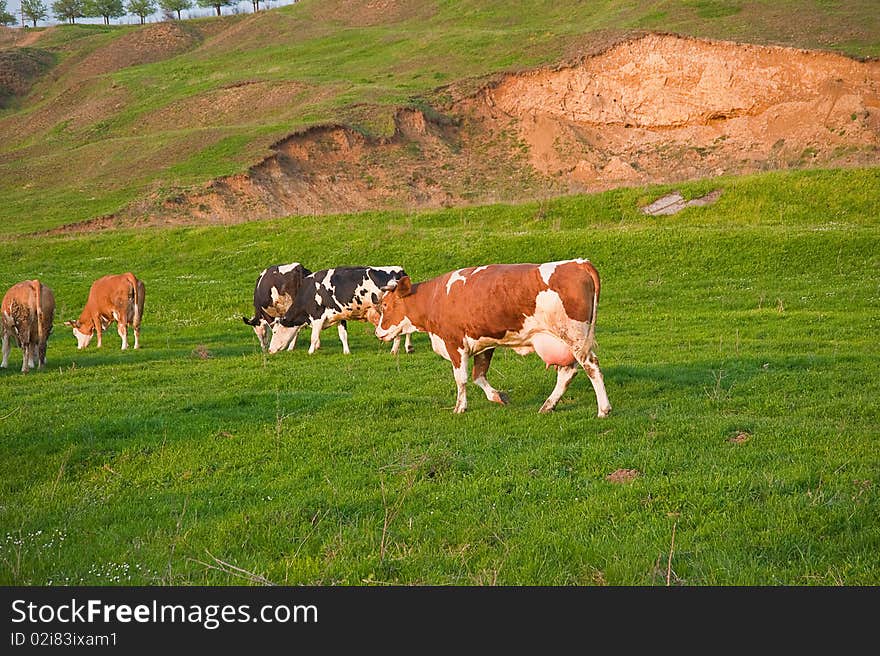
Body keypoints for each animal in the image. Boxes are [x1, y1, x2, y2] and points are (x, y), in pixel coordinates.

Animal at [268, 266, 416, 356]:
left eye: (274, 332)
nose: (269, 350)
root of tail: (399, 271)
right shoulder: (340, 316)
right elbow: (343, 335)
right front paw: (346, 352)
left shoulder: (317, 316)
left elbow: (314, 336)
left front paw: (310, 352)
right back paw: (408, 348)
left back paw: (395, 350)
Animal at [372, 260, 612, 416]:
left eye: (386, 305)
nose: (378, 332)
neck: (434, 298)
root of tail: (578, 263)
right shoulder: (483, 342)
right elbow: (478, 375)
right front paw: (498, 396)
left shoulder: (454, 343)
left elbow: (461, 378)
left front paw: (460, 407)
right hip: (565, 341)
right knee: (567, 372)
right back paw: (548, 406)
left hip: (574, 336)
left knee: (592, 367)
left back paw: (603, 409)